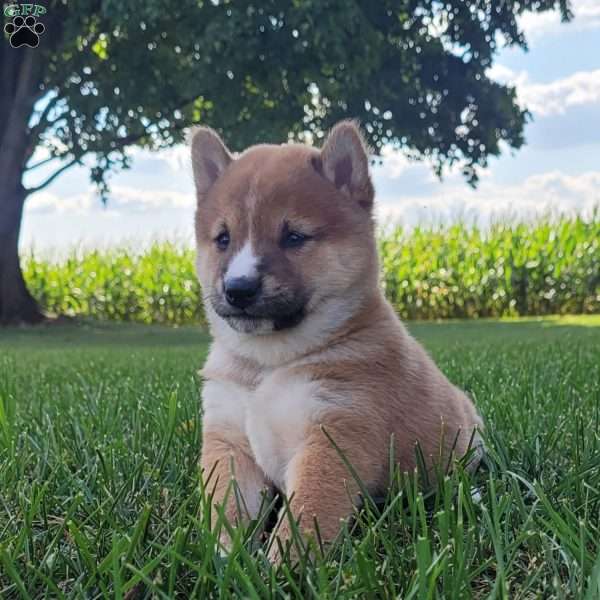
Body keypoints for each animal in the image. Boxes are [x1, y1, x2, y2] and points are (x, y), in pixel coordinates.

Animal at [192, 119, 482, 560]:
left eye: (294, 237)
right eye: (223, 238)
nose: (238, 289)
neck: (270, 364)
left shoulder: (334, 434)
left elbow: (307, 515)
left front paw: (283, 567)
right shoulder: (229, 439)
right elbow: (225, 508)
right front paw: (225, 558)